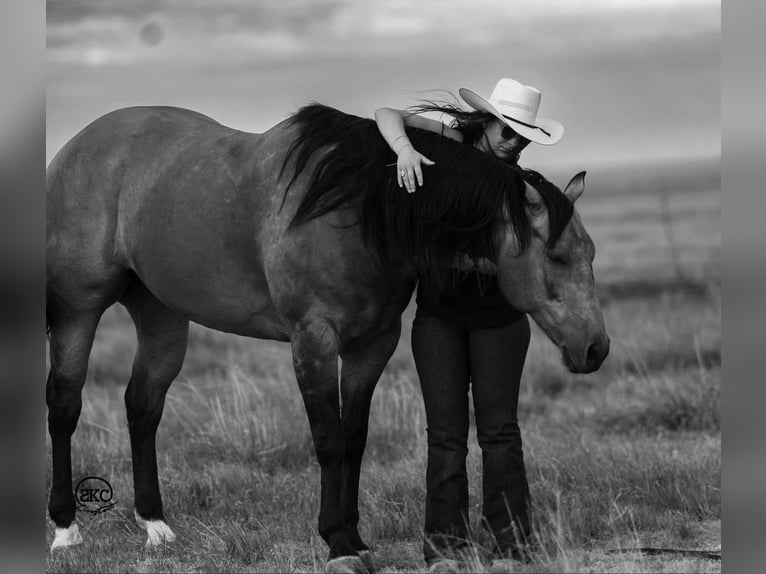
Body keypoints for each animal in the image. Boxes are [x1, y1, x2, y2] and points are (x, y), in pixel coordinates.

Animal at [46, 102, 612, 572]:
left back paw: (156, 527)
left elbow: (354, 438)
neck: (359, 208)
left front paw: (355, 538)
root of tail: (76, 147)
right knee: (65, 404)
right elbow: (328, 439)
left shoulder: (372, 343)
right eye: (557, 256)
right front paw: (338, 545)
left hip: (161, 316)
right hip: (78, 310)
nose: (596, 348)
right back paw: (65, 530)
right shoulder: (313, 341)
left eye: (590, 254)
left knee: (143, 406)